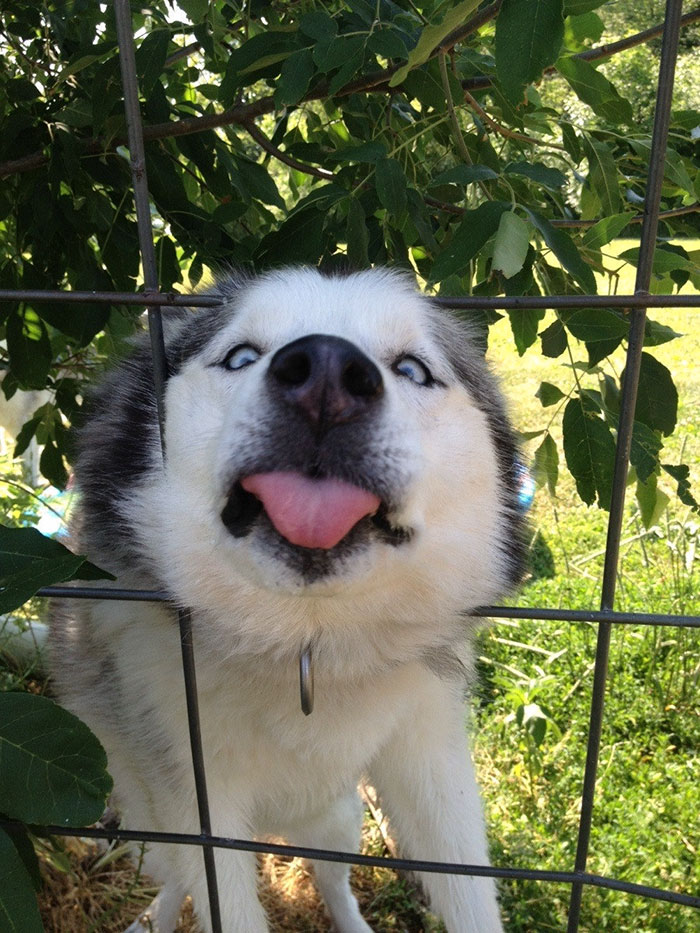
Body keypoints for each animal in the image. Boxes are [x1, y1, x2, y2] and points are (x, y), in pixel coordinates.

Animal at [50, 266, 524, 928]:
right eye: (241, 356)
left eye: (412, 368)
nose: (325, 374)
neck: (307, 651)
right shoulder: (196, 804)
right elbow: (217, 894)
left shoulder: (432, 759)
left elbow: (468, 887)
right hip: (151, 821)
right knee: (175, 878)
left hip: (336, 818)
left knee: (331, 879)